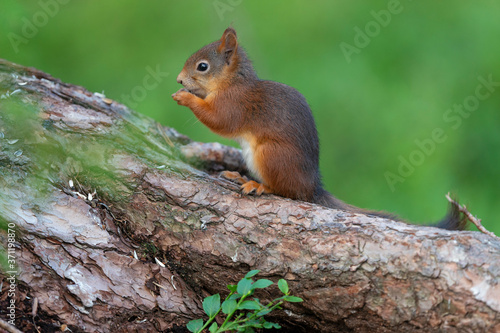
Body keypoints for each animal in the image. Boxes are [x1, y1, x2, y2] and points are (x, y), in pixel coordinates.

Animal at [172, 27, 464, 230]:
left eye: (202, 66)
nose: (179, 79)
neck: (232, 82)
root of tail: (312, 187)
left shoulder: (235, 105)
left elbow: (219, 120)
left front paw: (185, 98)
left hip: (271, 155)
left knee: (286, 191)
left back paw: (257, 185)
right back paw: (241, 177)